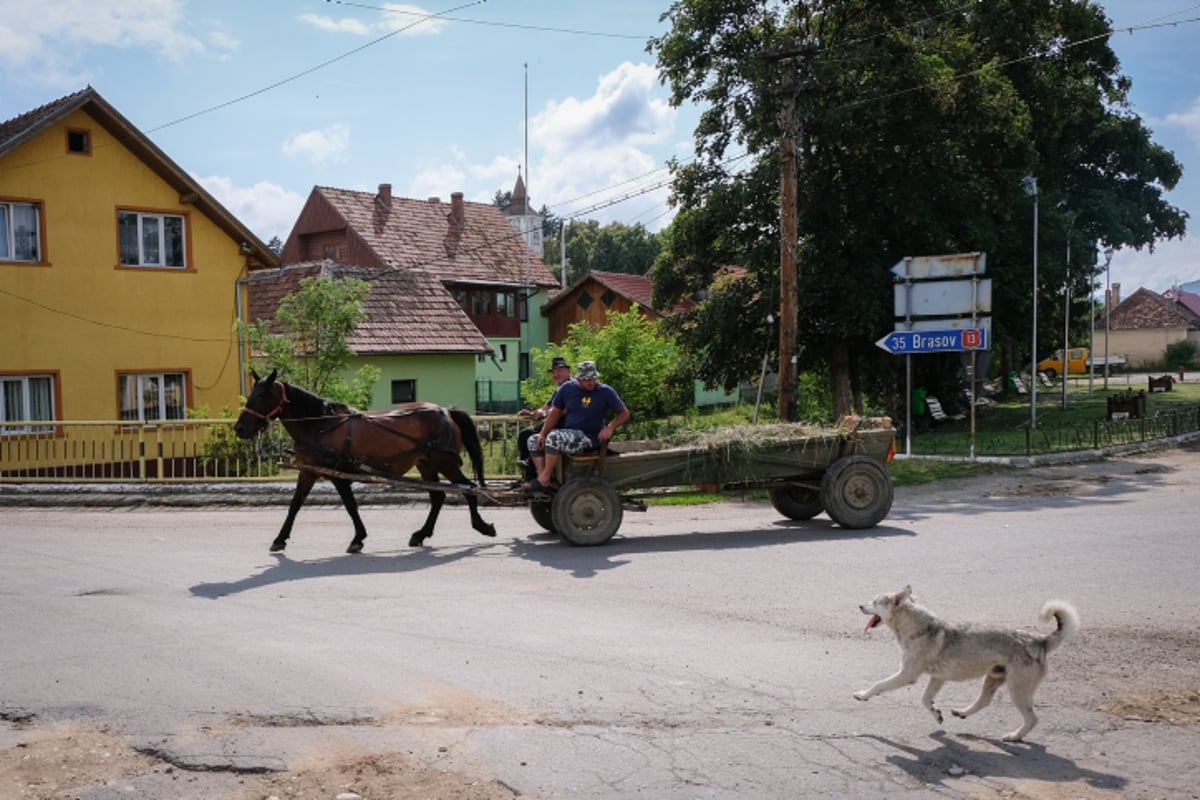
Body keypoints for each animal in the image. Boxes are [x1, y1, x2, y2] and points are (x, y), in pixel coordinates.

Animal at [234, 371, 496, 554]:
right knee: (438, 497)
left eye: (262, 395)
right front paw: (280, 539)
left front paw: (358, 538)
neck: (320, 425)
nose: (239, 428)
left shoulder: (337, 473)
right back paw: (421, 534)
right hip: (426, 463)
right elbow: (295, 504)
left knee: (469, 488)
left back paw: (482, 525)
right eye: (252, 395)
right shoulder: (308, 472)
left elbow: (350, 506)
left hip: (445, 462)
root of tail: (446, 411)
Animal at [854, 585, 1080, 743]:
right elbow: (926, 700)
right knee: (984, 701)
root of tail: (1039, 640)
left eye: (875, 601)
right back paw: (962, 712)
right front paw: (937, 715)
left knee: (1032, 719)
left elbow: (879, 685)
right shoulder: (937, 678)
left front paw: (862, 695)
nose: (859, 605)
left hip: (1017, 691)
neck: (919, 629)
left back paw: (1014, 736)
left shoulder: (907, 675)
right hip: (993, 679)